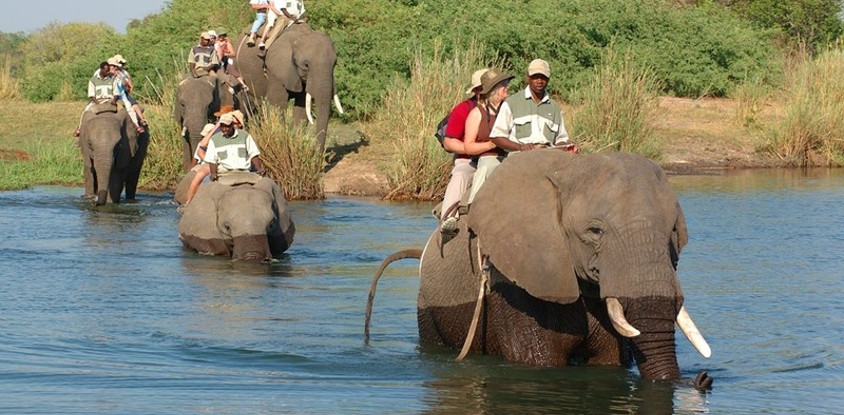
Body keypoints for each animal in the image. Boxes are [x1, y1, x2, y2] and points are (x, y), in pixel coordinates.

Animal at [234, 22, 344, 152]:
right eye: (306, 65)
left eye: (335, 64)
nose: (318, 155)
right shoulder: (275, 71)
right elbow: (278, 104)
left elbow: (301, 108)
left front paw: (296, 145)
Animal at [366, 150, 713, 386]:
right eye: (595, 231)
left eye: (673, 232)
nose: (704, 379)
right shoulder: (517, 281)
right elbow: (541, 361)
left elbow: (611, 361)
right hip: (428, 306)